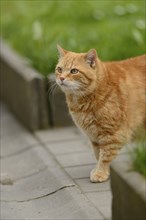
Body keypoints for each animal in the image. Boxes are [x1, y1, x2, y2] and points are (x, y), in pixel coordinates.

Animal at [55, 45, 145, 183]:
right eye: (59, 69)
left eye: (74, 71)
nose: (61, 78)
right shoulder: (94, 136)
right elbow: (98, 154)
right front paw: (102, 171)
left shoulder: (112, 135)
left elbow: (105, 156)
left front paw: (100, 173)